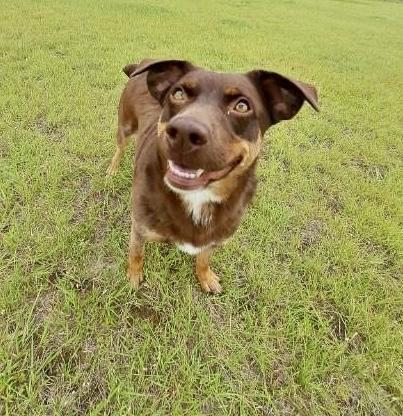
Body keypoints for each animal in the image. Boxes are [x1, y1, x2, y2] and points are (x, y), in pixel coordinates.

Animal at [106, 58, 318, 294]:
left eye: (242, 106)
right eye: (178, 94)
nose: (184, 133)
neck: (199, 197)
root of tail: (142, 64)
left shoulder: (215, 239)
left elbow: (203, 258)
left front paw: (205, 276)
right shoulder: (140, 227)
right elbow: (136, 254)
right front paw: (134, 276)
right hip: (125, 126)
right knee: (119, 148)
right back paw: (112, 170)